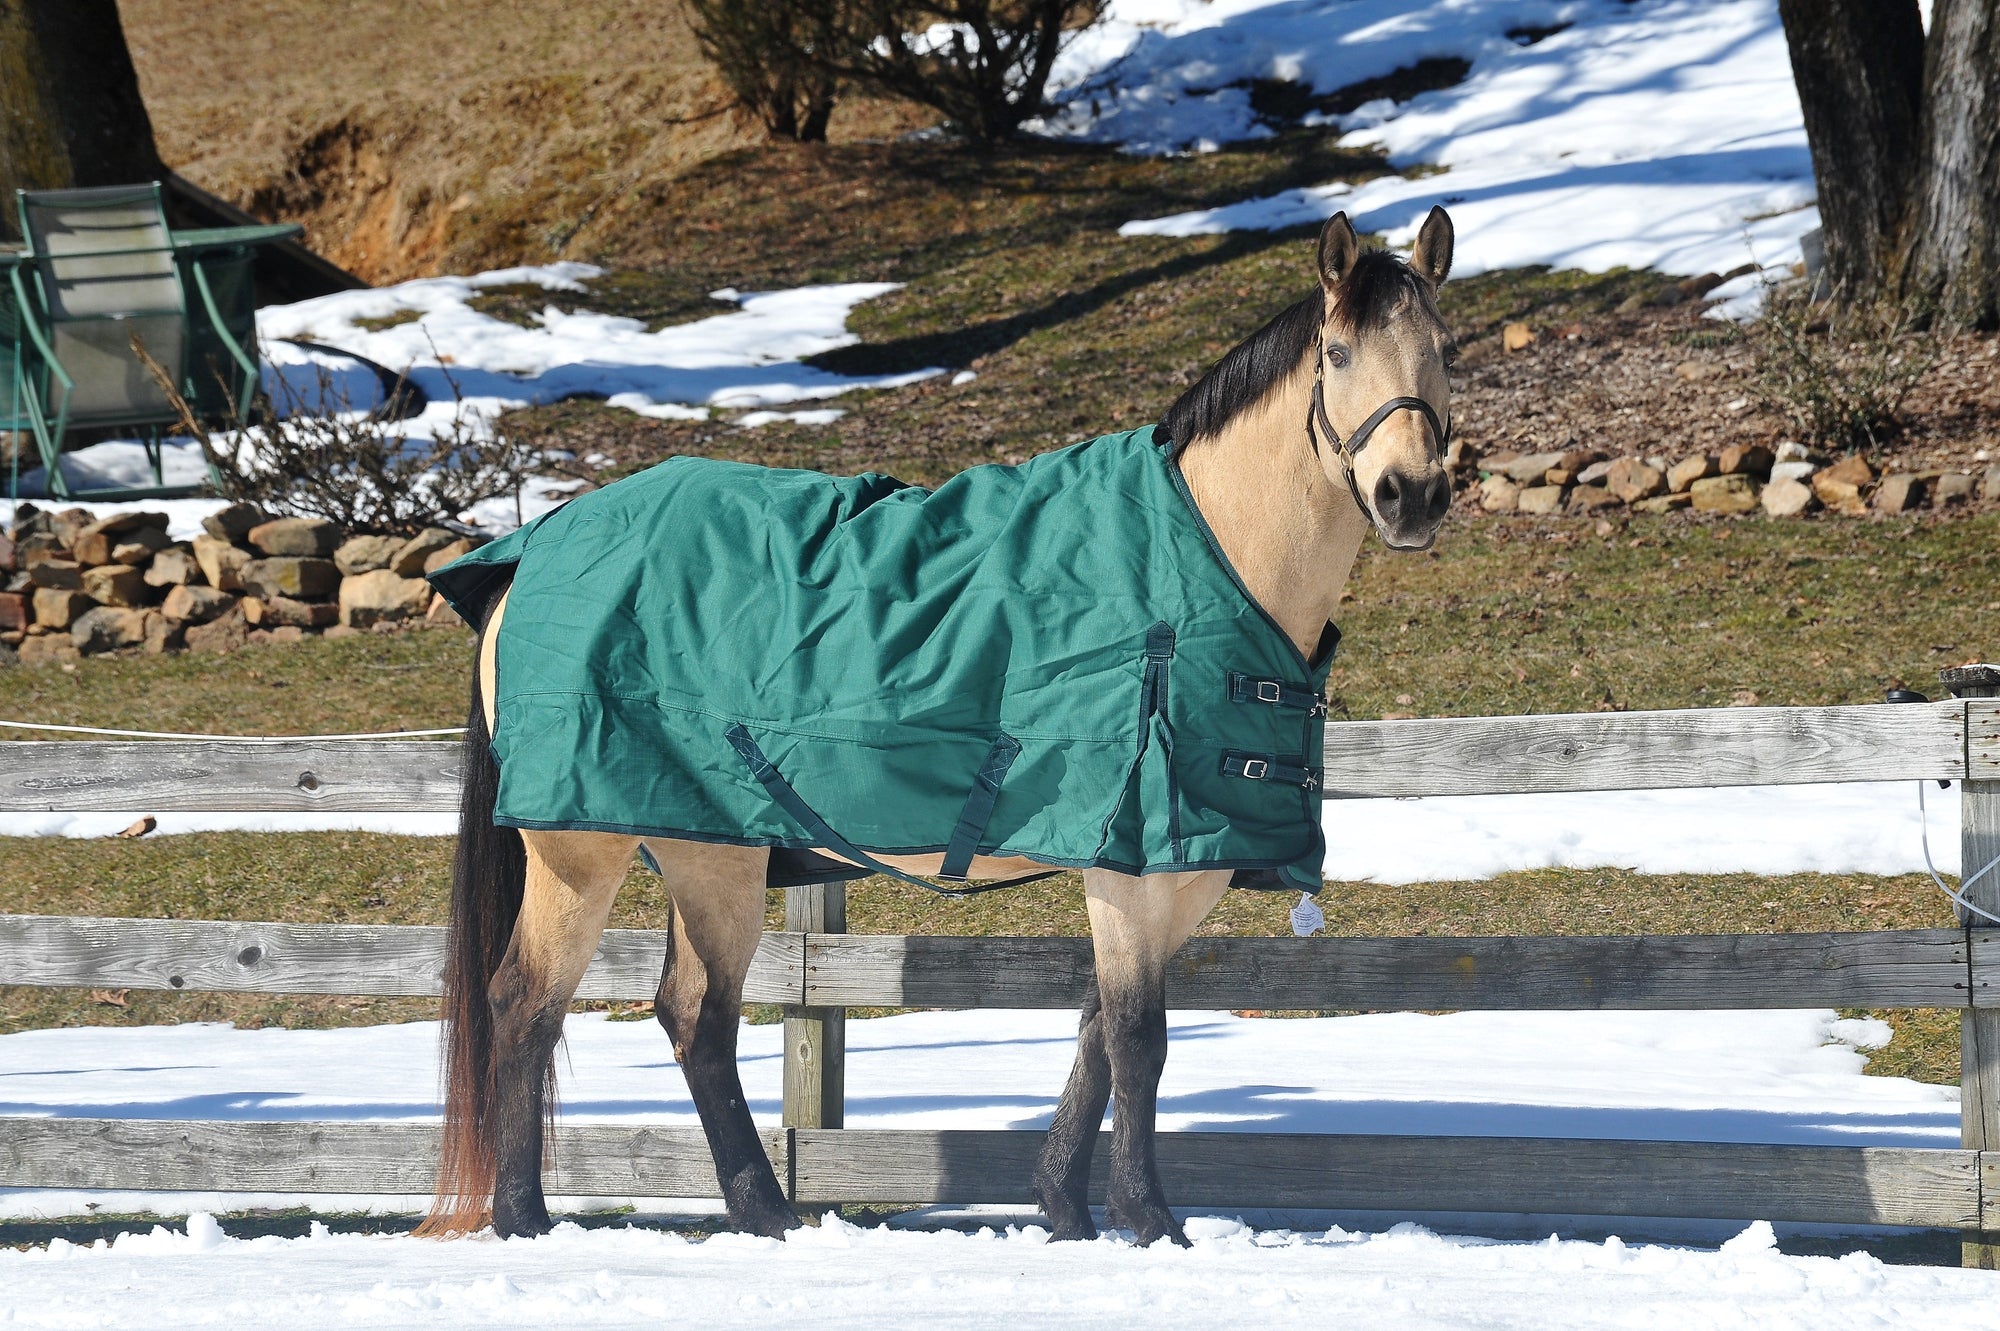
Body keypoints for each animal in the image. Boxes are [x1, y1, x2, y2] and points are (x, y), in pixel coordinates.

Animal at [418, 207, 1456, 1247]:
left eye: (1443, 348)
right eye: (1338, 351)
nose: (1412, 494)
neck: (1204, 557)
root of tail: (529, 556)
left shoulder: (1181, 871)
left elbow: (1096, 1034)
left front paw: (1063, 1210)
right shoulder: (1128, 867)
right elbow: (1138, 1040)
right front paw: (1150, 1220)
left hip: (709, 848)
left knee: (694, 1018)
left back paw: (765, 1213)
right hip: (581, 851)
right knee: (527, 1005)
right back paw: (526, 1218)